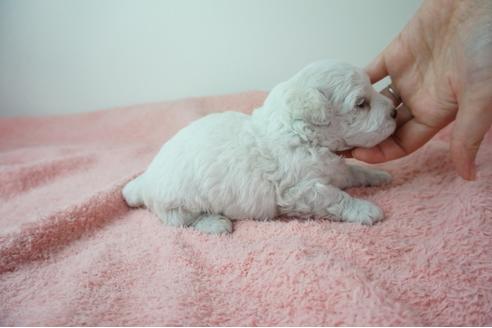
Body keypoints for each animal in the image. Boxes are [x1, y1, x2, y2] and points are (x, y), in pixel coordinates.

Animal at [122, 60, 396, 233]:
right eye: (361, 104)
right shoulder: (300, 190)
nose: (394, 111)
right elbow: (336, 197)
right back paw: (216, 224)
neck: (300, 132)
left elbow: (354, 171)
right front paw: (366, 209)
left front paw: (378, 175)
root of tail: (147, 180)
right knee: (181, 221)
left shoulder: (334, 170)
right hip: (178, 203)